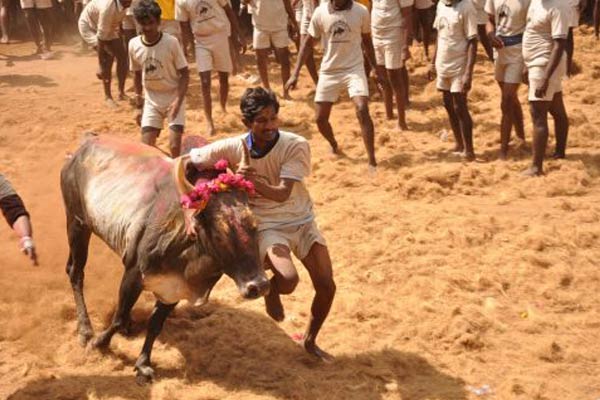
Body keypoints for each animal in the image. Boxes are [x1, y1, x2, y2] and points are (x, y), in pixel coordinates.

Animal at [60, 134, 268, 382]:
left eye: (255, 225)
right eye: (219, 233)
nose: (258, 286)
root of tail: (84, 145)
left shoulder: (173, 290)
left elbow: (155, 325)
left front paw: (143, 363)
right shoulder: (133, 274)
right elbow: (118, 318)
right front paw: (99, 343)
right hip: (77, 222)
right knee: (76, 272)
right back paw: (85, 330)